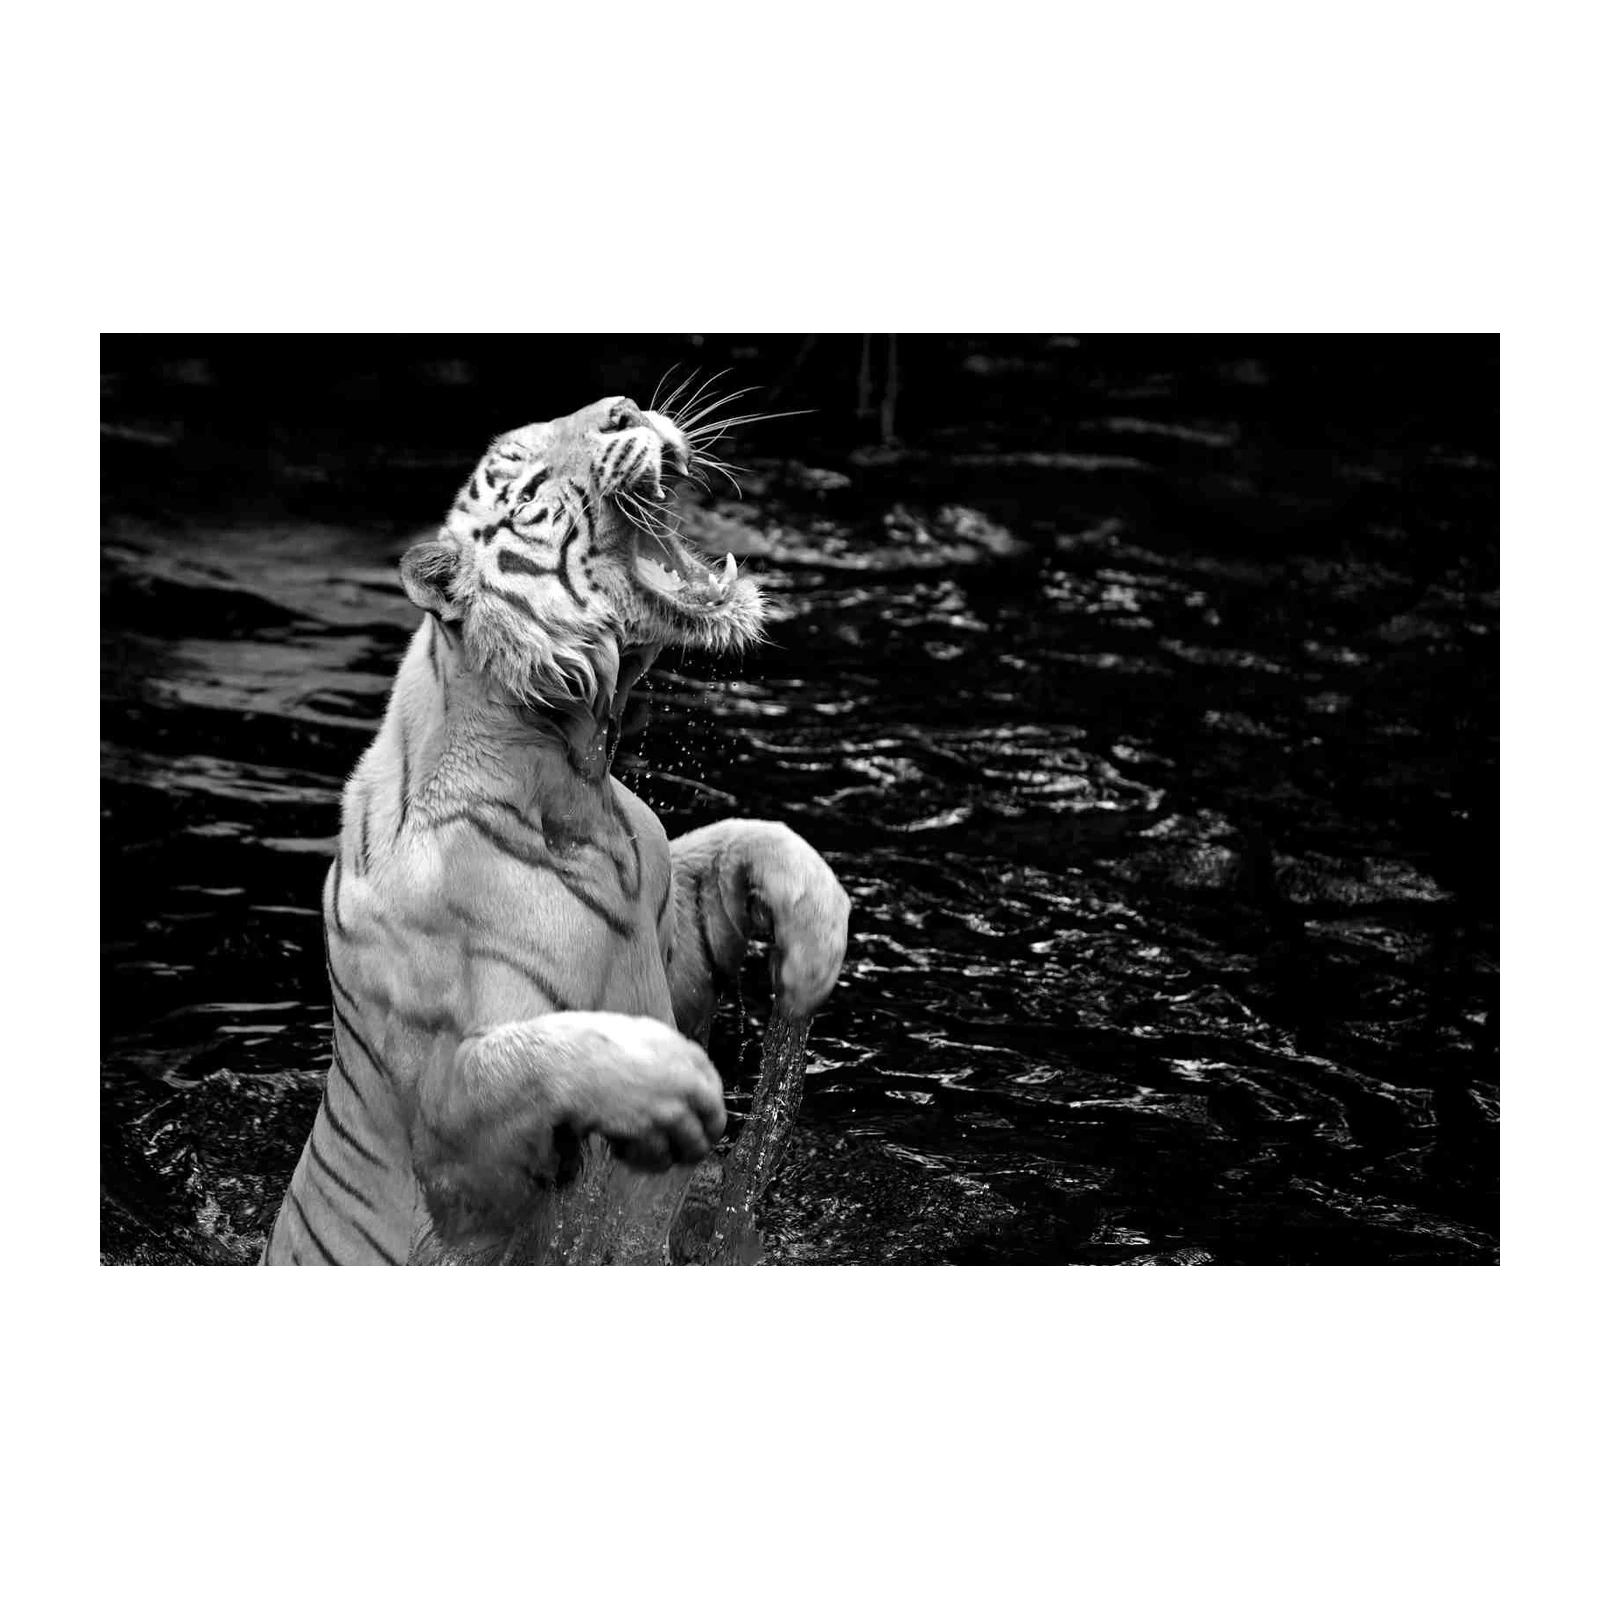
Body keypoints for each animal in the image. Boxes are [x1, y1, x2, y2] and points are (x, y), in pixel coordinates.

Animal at [259, 392, 851, 1270]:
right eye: (534, 485)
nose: (626, 408)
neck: (573, 779)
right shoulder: (456, 1157)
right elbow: (525, 1059)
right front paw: (677, 1088)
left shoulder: (663, 919)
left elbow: (751, 839)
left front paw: (812, 952)